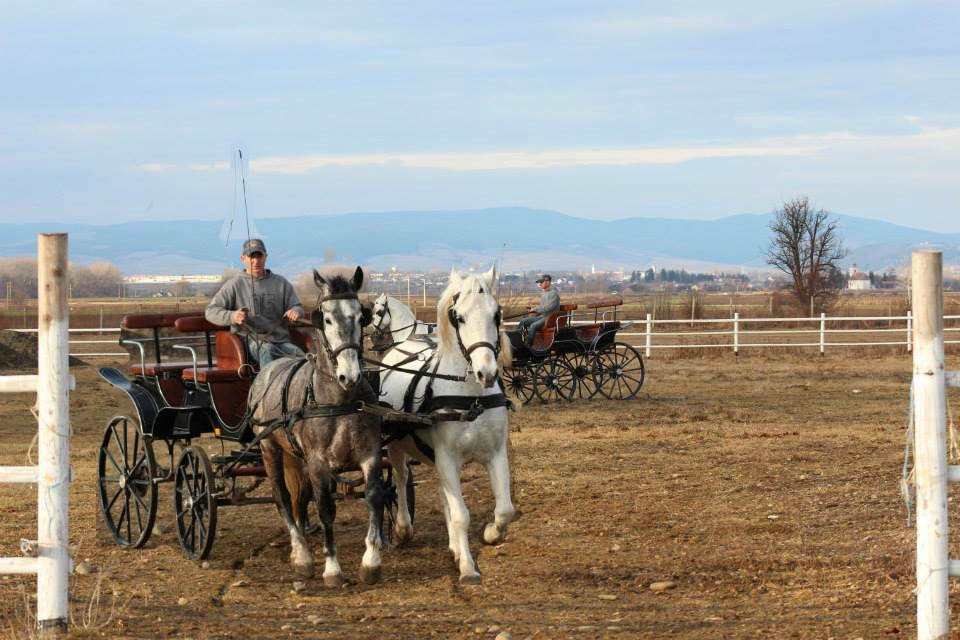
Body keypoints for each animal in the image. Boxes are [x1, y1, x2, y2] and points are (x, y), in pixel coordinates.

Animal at [378, 264, 512, 584]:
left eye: (496, 314)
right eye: (458, 317)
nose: (487, 372)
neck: (472, 398)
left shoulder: (496, 454)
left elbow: (504, 509)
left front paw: (490, 534)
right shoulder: (447, 459)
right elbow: (461, 514)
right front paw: (468, 568)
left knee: (443, 495)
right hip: (396, 445)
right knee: (400, 479)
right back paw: (402, 529)